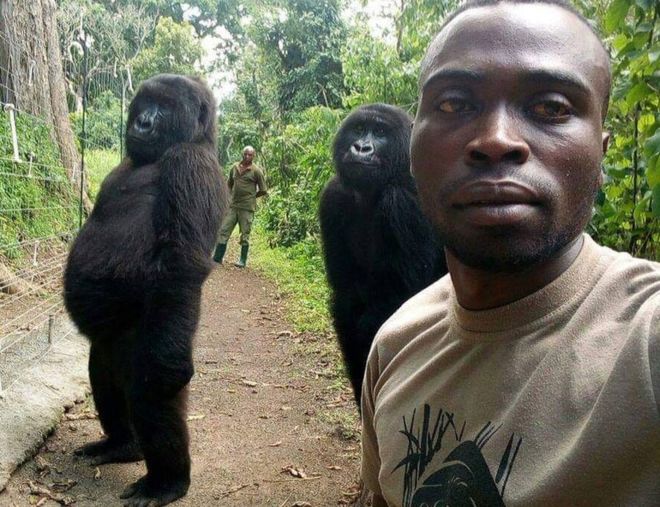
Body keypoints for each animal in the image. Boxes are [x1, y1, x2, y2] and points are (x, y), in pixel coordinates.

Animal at [64, 73, 228, 506]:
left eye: (166, 108)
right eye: (145, 103)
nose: (143, 122)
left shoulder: (191, 165)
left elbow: (180, 267)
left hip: (150, 340)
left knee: (151, 396)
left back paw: (167, 481)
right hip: (109, 345)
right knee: (103, 374)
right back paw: (121, 445)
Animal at [318, 103, 446, 404]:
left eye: (379, 132)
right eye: (359, 129)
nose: (361, 147)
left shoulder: (404, 203)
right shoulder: (333, 196)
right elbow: (347, 304)